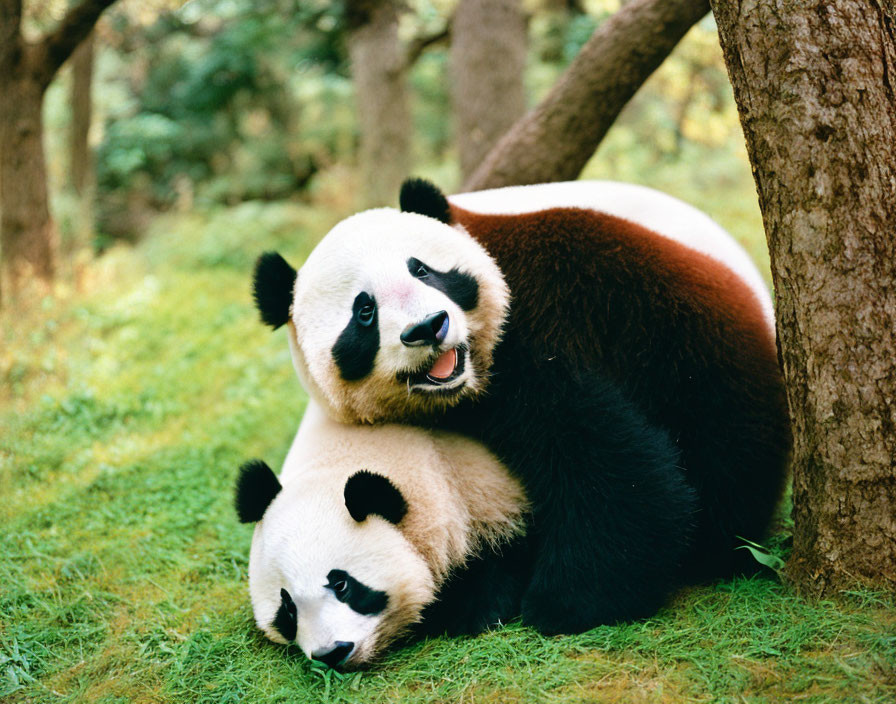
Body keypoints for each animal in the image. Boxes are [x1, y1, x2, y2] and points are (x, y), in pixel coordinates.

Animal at [254, 179, 792, 636]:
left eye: (422, 270)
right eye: (364, 311)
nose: (428, 327)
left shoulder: (540, 315)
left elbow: (599, 456)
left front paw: (568, 600)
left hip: (690, 333)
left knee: (726, 437)